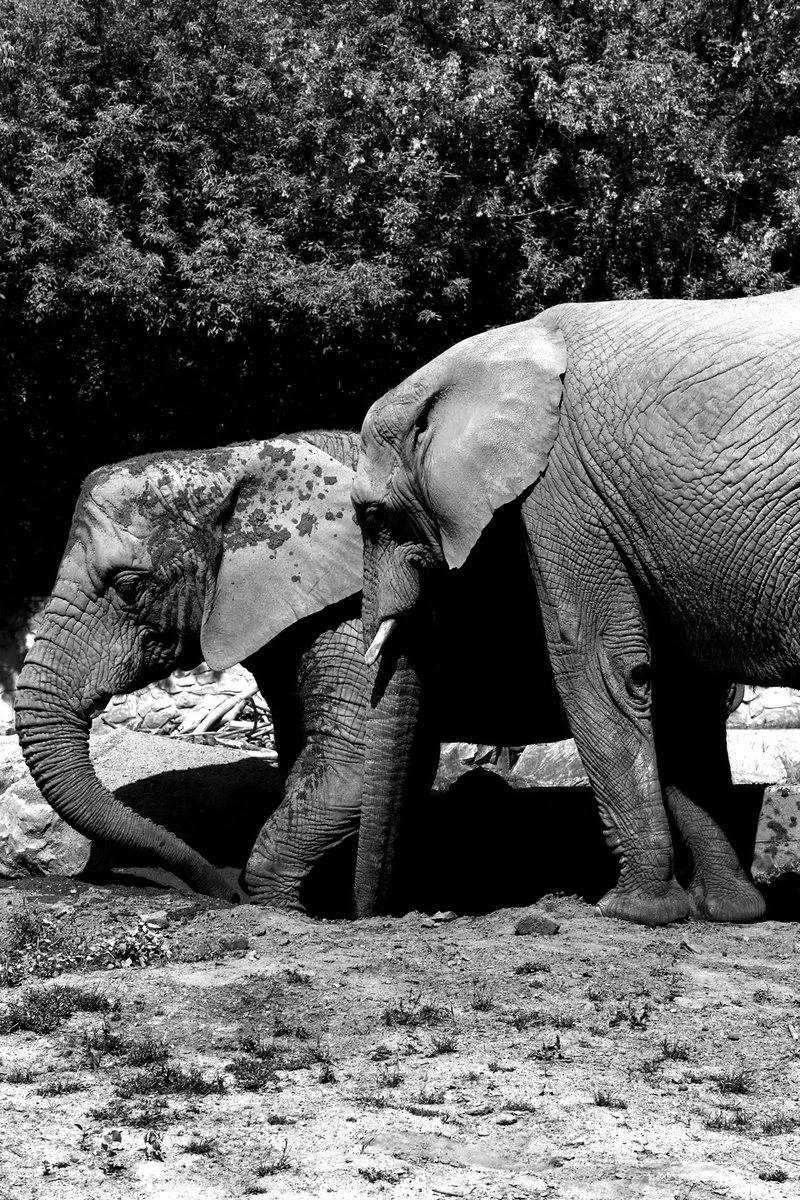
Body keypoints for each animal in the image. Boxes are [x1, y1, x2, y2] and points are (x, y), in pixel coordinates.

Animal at [352, 288, 800, 926]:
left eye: (370, 516)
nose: (378, 917)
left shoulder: (563, 490)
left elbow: (599, 665)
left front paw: (631, 912)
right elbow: (682, 692)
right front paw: (727, 912)